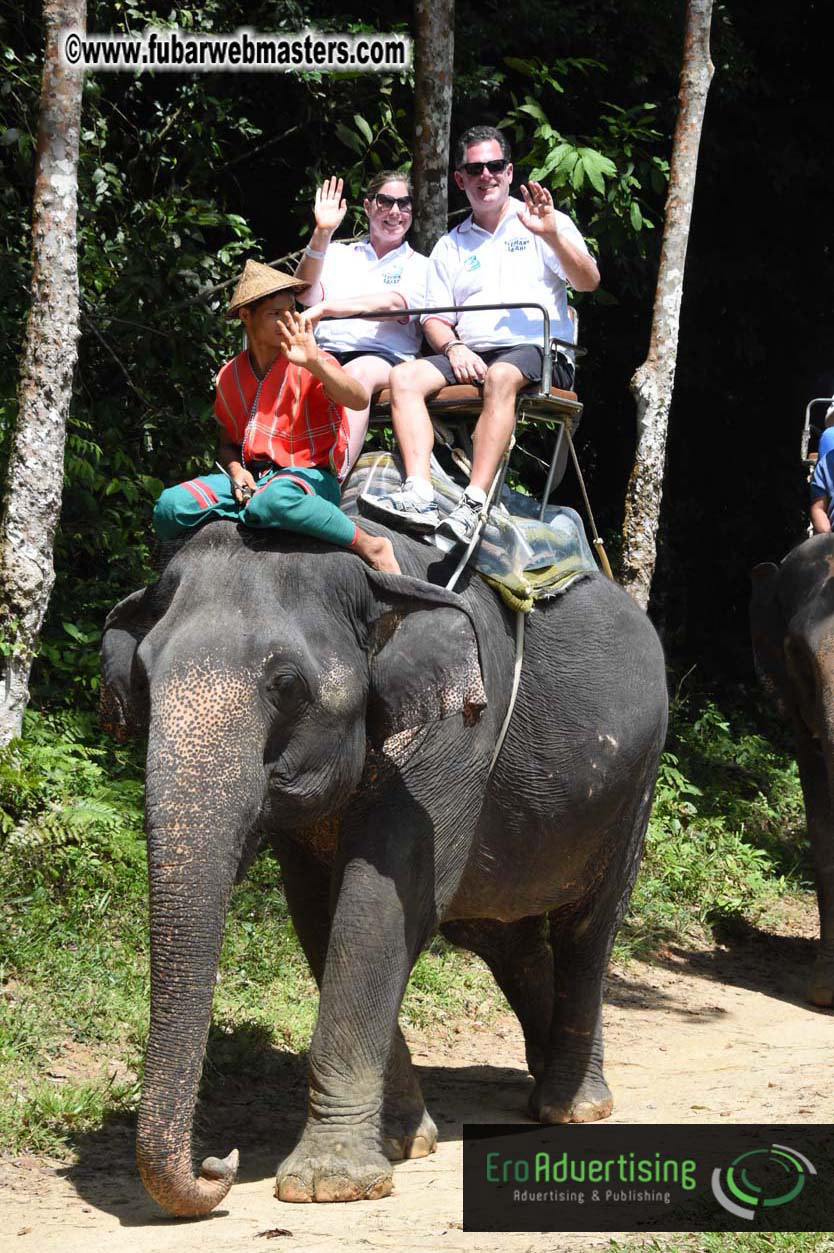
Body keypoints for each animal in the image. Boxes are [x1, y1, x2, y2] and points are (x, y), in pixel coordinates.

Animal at [100, 517, 668, 1218]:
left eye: (286, 684)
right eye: (143, 680)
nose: (217, 1163)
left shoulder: (453, 735)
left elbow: (380, 906)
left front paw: (328, 1184)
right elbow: (319, 916)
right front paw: (402, 1143)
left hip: (635, 786)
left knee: (587, 930)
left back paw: (574, 1107)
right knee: (504, 937)